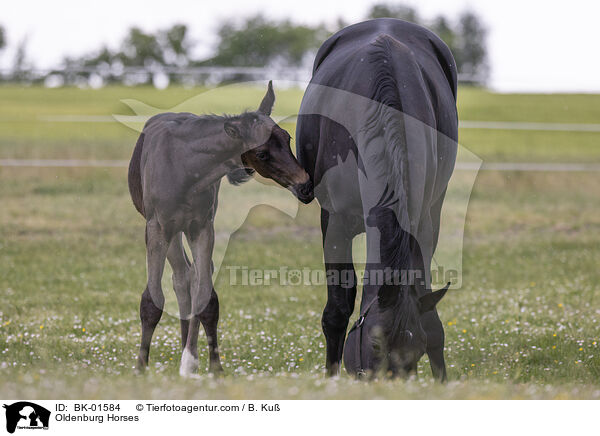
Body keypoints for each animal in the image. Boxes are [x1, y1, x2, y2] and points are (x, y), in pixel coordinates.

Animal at [127, 83, 314, 376]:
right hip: (169, 230)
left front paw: (212, 368)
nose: (305, 186)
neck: (185, 167)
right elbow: (152, 300)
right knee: (181, 277)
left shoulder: (203, 227)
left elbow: (207, 298)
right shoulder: (157, 227)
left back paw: (188, 357)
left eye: (287, 139)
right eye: (262, 153)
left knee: (190, 278)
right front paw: (140, 368)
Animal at [296, 18, 460, 380]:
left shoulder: (422, 224)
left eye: (416, 351)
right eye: (374, 344)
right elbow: (337, 309)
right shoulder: (335, 223)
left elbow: (429, 312)